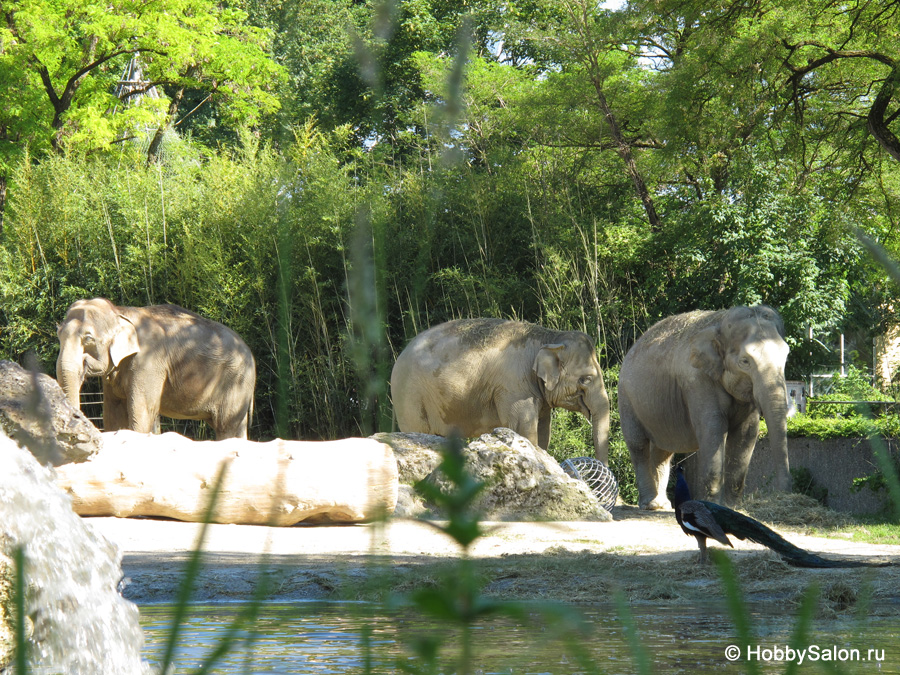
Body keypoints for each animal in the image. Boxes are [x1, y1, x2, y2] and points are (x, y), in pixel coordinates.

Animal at [56, 298, 255, 440]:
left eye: (88, 339)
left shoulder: (148, 362)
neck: (119, 311)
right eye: (59, 335)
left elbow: (140, 411)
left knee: (226, 426)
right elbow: (113, 414)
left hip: (236, 383)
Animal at [388, 320, 612, 462]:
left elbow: (543, 430)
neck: (548, 337)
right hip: (409, 396)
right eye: (586, 379)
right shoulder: (514, 386)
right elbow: (524, 429)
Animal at [620, 304, 788, 510]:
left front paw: (733, 507)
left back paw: (662, 505)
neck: (721, 323)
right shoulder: (697, 381)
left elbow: (746, 433)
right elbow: (712, 430)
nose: (784, 493)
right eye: (745, 361)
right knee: (638, 445)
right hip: (626, 399)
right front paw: (714, 505)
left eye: (786, 356)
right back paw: (649, 505)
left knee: (663, 451)